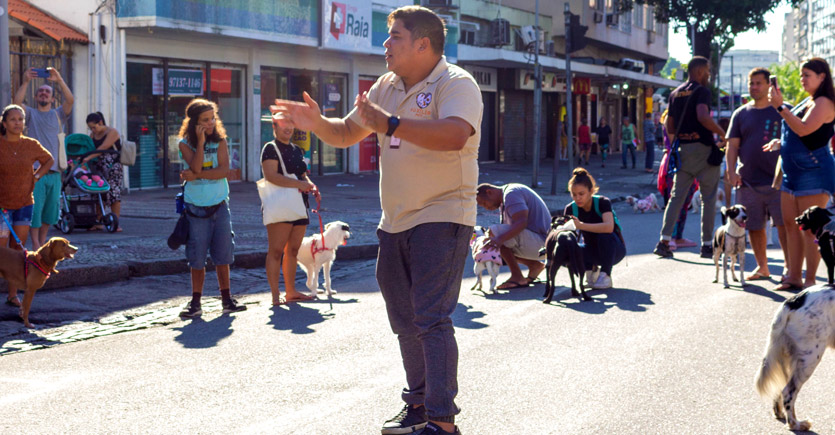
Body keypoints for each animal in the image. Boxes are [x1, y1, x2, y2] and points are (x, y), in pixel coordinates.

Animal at [756, 286, 835, 432]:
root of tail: (792, 301)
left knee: (780, 387)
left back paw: (779, 413)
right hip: (810, 358)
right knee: (788, 392)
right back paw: (796, 424)